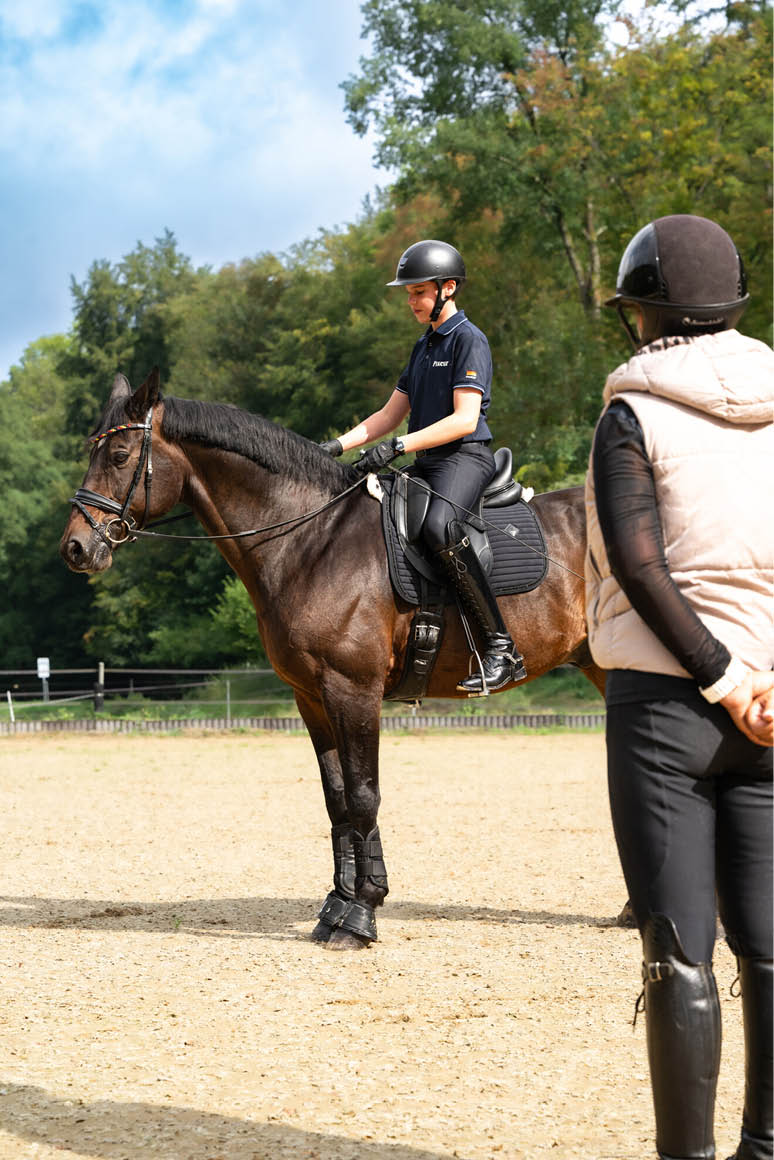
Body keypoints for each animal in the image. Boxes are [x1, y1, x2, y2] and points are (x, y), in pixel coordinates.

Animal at [60, 369, 606, 950]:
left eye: (120, 455)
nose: (75, 548)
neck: (311, 538)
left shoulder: (354, 689)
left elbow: (364, 795)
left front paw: (361, 915)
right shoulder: (312, 696)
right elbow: (338, 798)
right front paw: (338, 906)